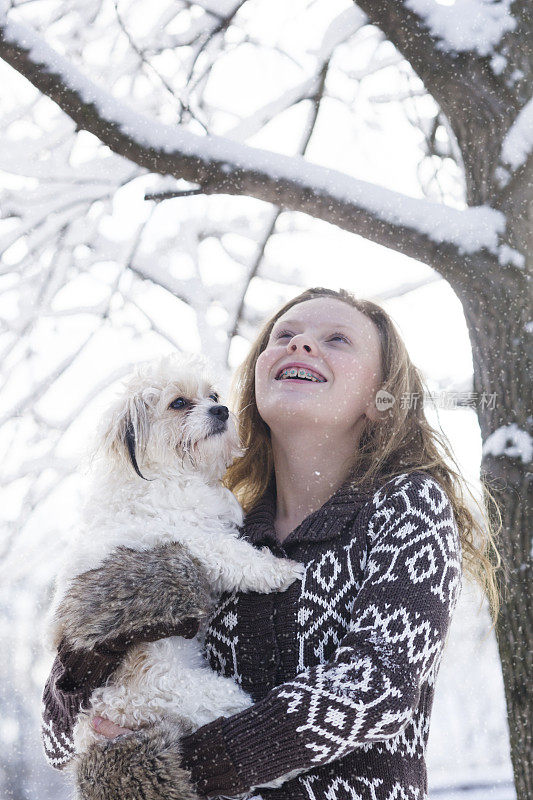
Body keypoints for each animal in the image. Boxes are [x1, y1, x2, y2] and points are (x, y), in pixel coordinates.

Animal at [46, 354, 304, 764]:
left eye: (213, 395)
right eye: (178, 403)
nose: (222, 410)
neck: (174, 475)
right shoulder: (192, 540)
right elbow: (235, 556)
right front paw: (280, 569)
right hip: (189, 692)